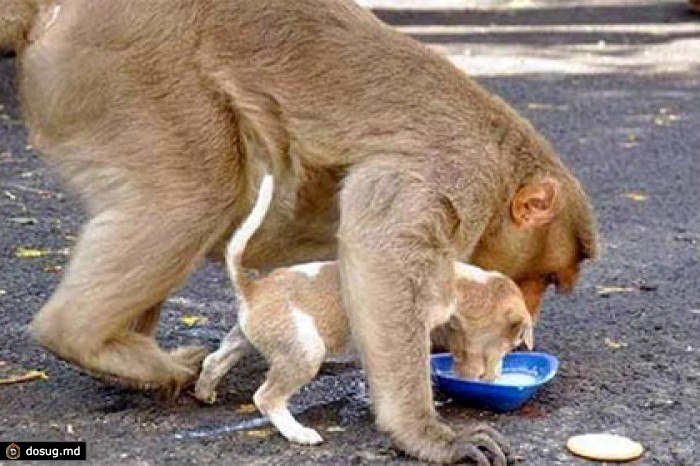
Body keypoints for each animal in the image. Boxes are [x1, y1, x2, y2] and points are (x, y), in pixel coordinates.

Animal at [194, 175, 532, 444]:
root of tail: (253, 288)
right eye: (513, 341)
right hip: (305, 351)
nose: (495, 378)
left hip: (245, 339)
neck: (460, 282)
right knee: (266, 398)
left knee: (214, 361)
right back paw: (299, 433)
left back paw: (204, 392)